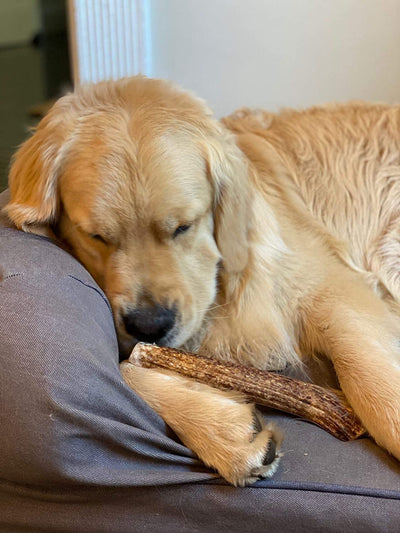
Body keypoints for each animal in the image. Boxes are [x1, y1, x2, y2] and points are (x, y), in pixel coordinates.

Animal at [3, 76, 400, 486]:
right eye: (95, 236)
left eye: (184, 226)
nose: (150, 324)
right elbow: (125, 369)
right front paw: (226, 432)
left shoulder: (334, 291)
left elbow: (368, 376)